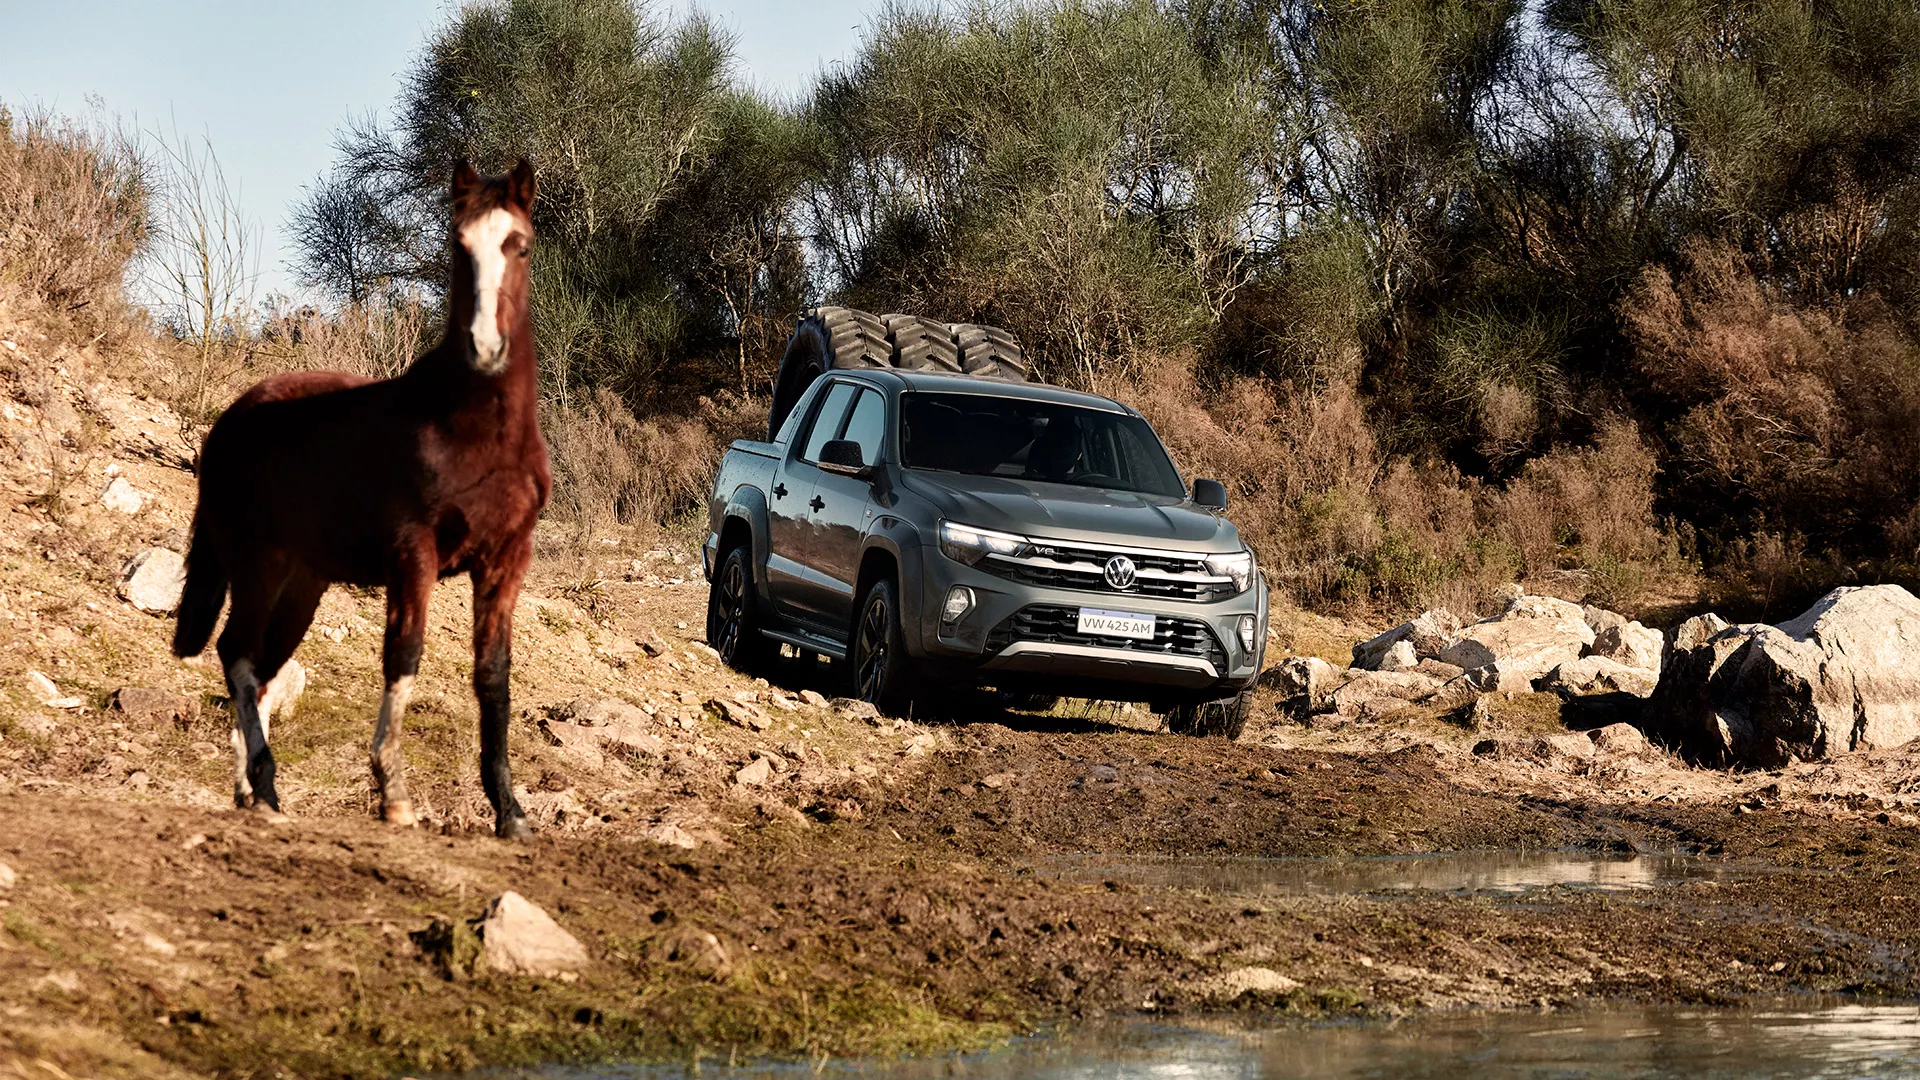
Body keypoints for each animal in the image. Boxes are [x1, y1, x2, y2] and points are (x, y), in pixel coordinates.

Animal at [174, 159, 549, 837]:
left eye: (520, 245)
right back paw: (265, 787)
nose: (485, 347)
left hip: (302, 583)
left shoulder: (506, 559)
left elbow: (493, 675)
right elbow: (405, 653)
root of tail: (229, 421)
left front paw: (509, 811)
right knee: (237, 653)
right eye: (457, 245)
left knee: (260, 666)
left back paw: (249, 789)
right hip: (259, 565)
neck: (478, 433)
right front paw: (392, 793)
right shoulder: (413, 554)